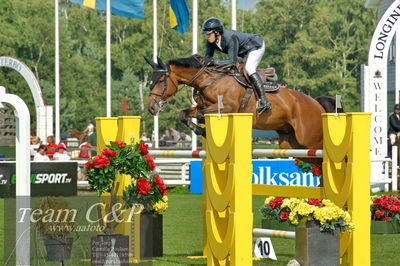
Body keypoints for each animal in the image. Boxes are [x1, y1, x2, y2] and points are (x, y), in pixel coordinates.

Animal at [145, 55, 334, 163]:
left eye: (161, 81)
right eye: (150, 81)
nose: (151, 107)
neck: (210, 79)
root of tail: (316, 103)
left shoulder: (226, 107)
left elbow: (201, 115)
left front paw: (202, 130)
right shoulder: (202, 106)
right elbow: (184, 114)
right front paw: (200, 130)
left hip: (309, 140)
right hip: (292, 144)